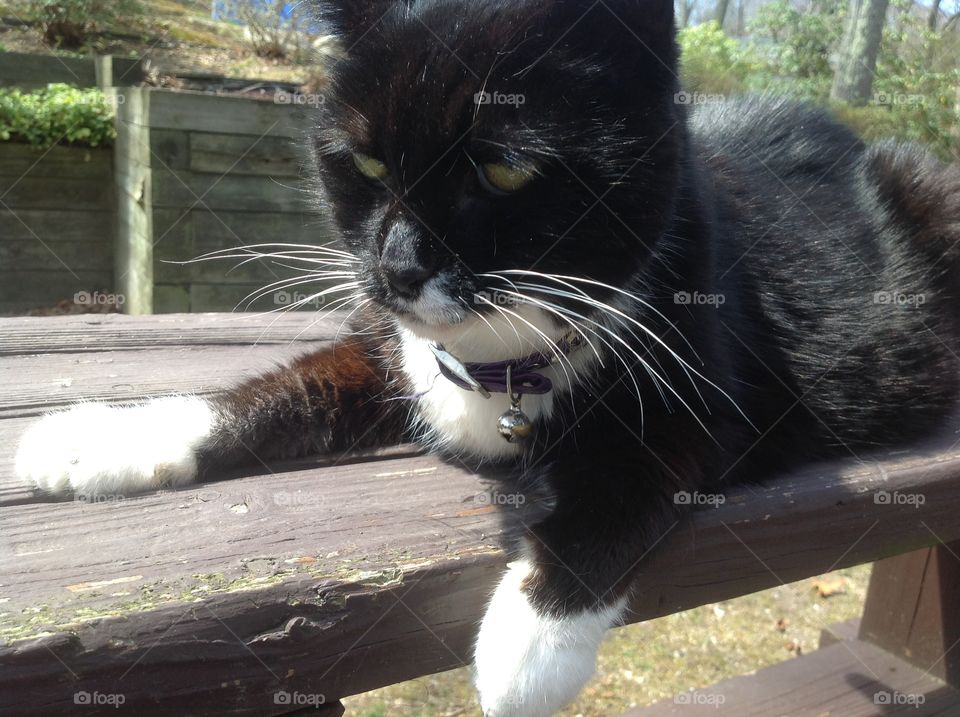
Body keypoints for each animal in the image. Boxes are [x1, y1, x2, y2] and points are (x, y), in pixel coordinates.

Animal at [15, 1, 960, 716]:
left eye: (503, 171)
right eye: (366, 162)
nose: (396, 269)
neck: (498, 360)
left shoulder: (701, 392)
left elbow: (623, 488)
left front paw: (526, 647)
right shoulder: (393, 354)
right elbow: (282, 390)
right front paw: (96, 440)